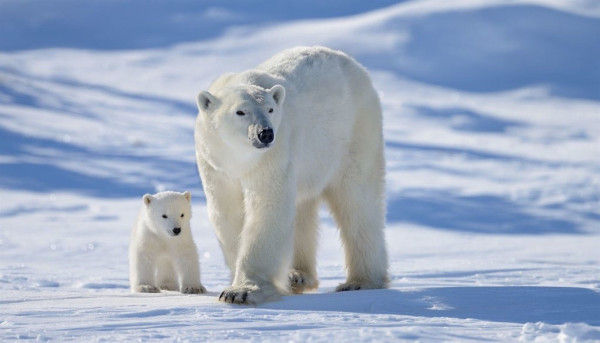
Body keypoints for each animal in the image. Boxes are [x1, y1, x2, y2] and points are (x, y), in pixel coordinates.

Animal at [196, 46, 390, 306]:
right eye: (240, 112)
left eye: (270, 109)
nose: (265, 133)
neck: (240, 158)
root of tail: (353, 63)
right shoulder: (216, 165)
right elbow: (227, 212)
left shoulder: (273, 156)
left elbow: (268, 207)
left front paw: (243, 291)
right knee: (302, 209)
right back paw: (298, 276)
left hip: (354, 132)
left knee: (357, 200)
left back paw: (360, 281)